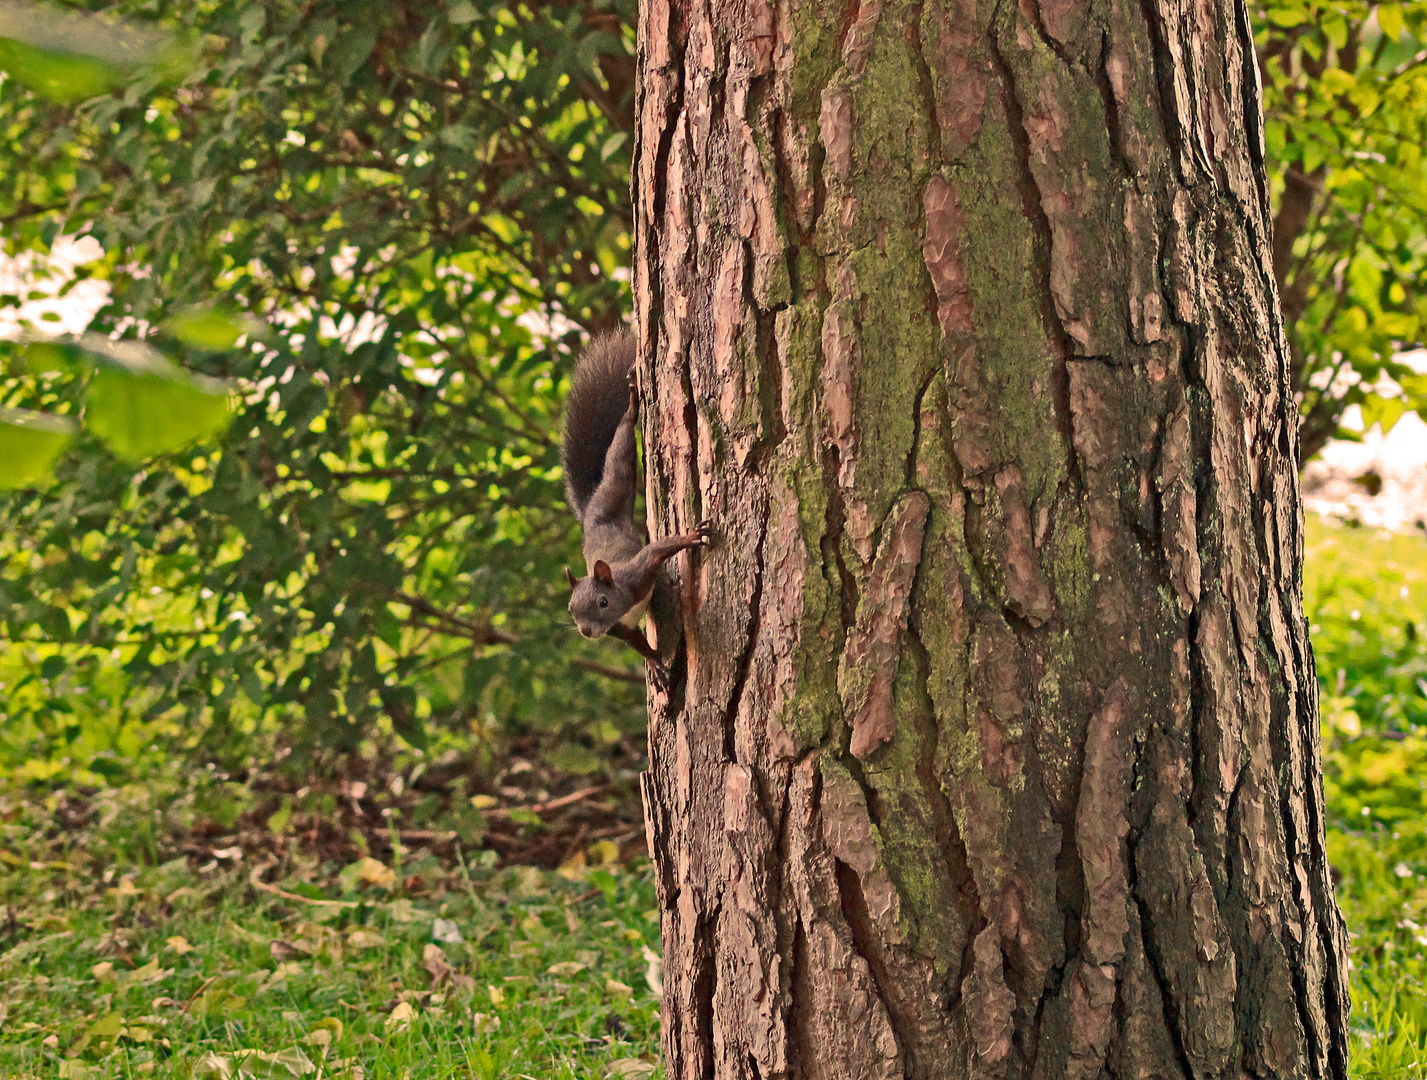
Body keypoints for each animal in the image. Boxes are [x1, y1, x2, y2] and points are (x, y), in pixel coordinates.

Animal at [559, 328, 710, 687]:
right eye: (571, 609)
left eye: (602, 602)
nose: (587, 631)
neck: (622, 605)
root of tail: (589, 515)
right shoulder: (620, 629)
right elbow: (638, 642)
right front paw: (654, 663)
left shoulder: (637, 574)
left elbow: (658, 550)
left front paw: (690, 537)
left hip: (616, 485)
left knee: (621, 452)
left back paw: (630, 407)